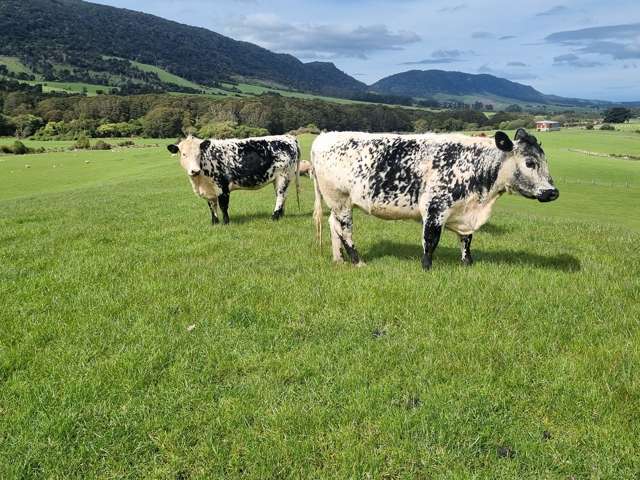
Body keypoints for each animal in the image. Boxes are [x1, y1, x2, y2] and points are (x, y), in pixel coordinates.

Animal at [312, 129, 556, 268]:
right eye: (530, 162)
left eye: (545, 160)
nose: (553, 192)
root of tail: (325, 136)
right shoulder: (435, 207)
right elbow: (431, 240)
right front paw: (427, 266)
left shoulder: (464, 213)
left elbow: (466, 240)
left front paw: (468, 263)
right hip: (340, 199)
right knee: (344, 229)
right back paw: (357, 261)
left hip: (337, 203)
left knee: (333, 225)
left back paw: (338, 258)